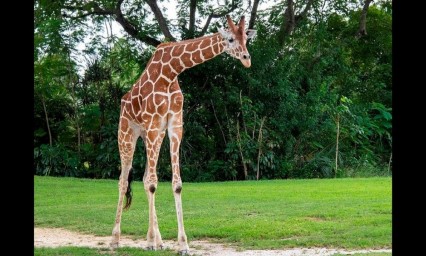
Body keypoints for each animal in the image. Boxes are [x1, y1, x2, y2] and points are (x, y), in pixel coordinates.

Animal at [110, 15, 256, 254]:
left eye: (246, 38)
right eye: (230, 39)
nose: (246, 59)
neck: (171, 71)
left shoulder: (174, 125)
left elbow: (174, 184)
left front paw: (182, 244)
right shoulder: (154, 123)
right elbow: (153, 183)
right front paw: (151, 242)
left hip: (152, 135)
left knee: (143, 178)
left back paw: (158, 241)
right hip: (127, 133)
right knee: (124, 181)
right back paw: (115, 239)